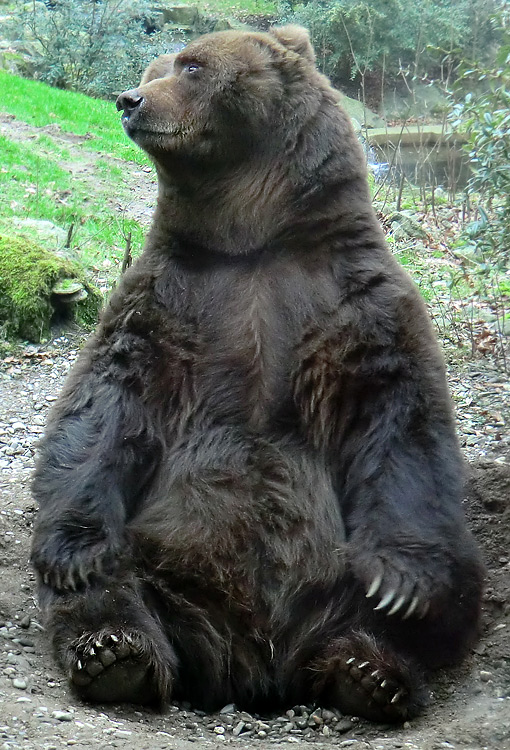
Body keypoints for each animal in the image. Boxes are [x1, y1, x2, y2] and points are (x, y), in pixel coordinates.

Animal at [29, 26, 484, 724]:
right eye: (155, 68)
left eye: (190, 66)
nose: (129, 99)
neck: (252, 239)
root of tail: (255, 661)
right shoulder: (170, 295)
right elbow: (107, 401)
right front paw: (73, 553)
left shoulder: (353, 296)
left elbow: (396, 410)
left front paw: (400, 583)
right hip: (160, 547)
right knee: (117, 579)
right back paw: (115, 652)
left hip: (357, 569)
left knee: (454, 583)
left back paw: (369, 669)